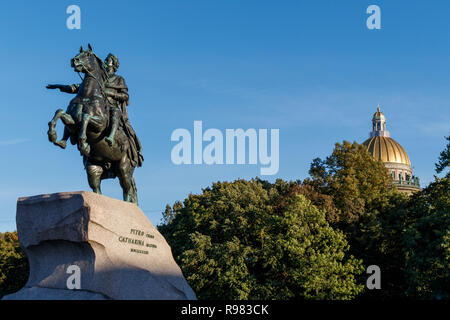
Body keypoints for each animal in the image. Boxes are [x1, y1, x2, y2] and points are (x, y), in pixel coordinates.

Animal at [47, 45, 139, 202]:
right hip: (94, 167)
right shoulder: (72, 121)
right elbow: (59, 112)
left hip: (124, 167)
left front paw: (83, 142)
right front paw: (53, 136)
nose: (74, 60)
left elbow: (86, 117)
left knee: (127, 189)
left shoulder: (100, 125)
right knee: (96, 188)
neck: (87, 95)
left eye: (88, 55)